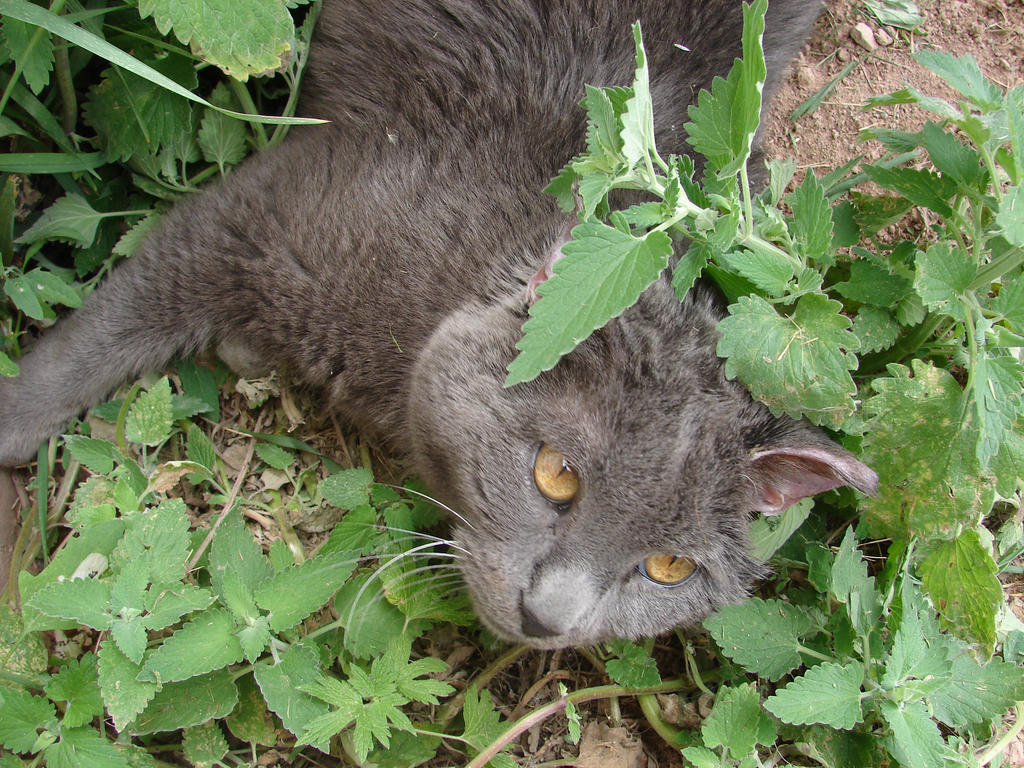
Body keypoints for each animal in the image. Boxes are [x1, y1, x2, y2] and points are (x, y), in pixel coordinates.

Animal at [0, 0, 876, 651]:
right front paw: (12, 419)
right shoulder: (261, 215)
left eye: (667, 569)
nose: (547, 619)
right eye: (555, 474)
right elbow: (97, 335)